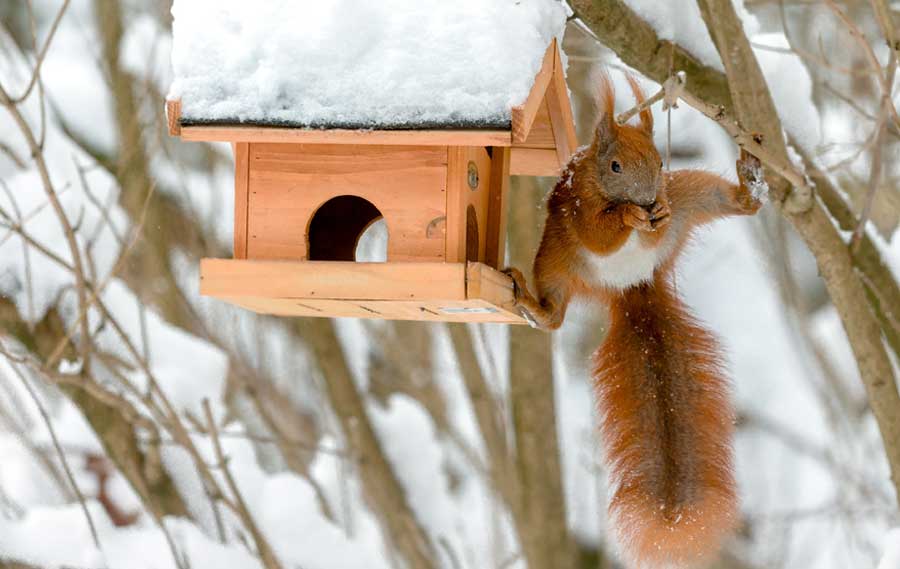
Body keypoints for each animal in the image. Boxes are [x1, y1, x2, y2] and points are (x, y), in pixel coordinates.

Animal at [502, 73, 764, 564]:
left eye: (660, 160)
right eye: (616, 166)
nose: (647, 200)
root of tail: (632, 285)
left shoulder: (667, 198)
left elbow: (655, 223)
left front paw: (652, 214)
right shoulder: (579, 210)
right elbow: (598, 233)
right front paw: (626, 215)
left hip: (690, 196)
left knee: (727, 204)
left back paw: (749, 185)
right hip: (557, 266)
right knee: (554, 314)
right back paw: (531, 302)